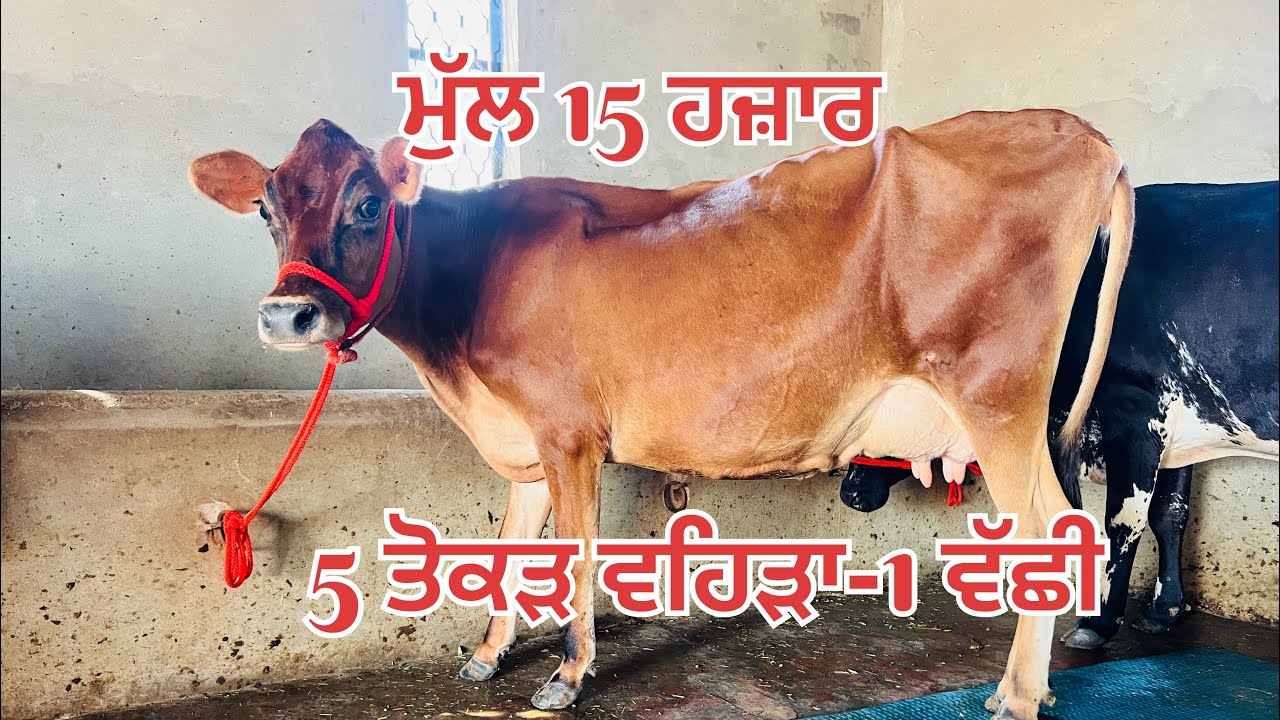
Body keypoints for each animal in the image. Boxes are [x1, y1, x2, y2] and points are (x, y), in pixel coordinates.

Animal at [188, 109, 1133, 718]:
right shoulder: (527, 444)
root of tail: (1079, 134)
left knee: (1050, 531)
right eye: (267, 208)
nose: (287, 316)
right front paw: (488, 654)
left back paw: (1016, 695)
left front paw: (567, 676)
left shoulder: (569, 432)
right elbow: (508, 551)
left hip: (995, 394)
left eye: (368, 205)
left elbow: (572, 557)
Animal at [837, 181, 1280, 650]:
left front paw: (1096, 620)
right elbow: (1170, 515)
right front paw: (1163, 611)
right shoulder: (1180, 432)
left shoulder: (1133, 412)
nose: (850, 493)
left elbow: (1120, 522)